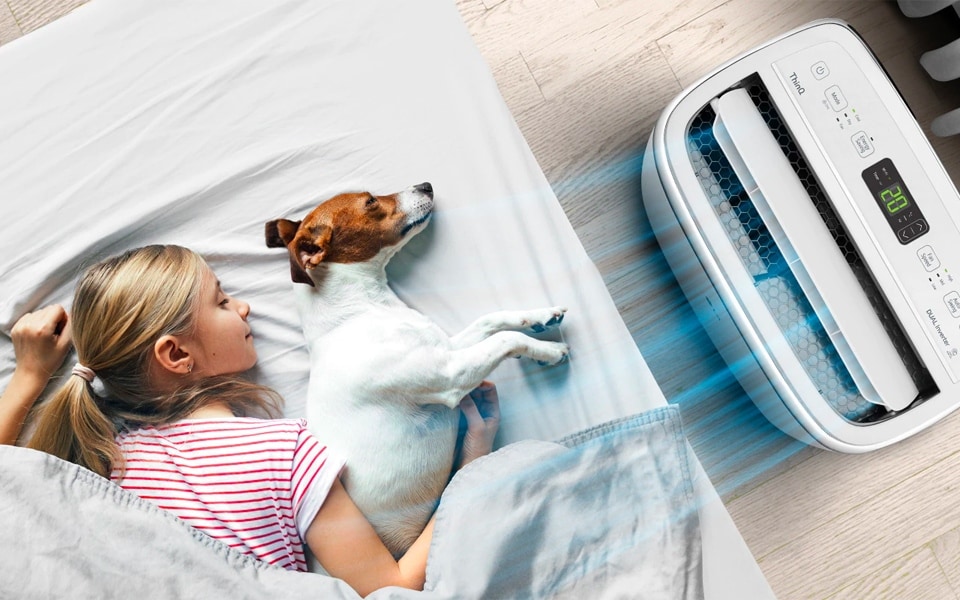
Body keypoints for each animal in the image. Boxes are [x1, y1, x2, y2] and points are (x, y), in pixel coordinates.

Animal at [264, 183, 568, 556]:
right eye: (370, 201)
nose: (426, 185)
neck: (364, 309)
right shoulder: (450, 376)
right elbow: (506, 338)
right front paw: (550, 351)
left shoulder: (447, 350)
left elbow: (494, 320)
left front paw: (541, 317)